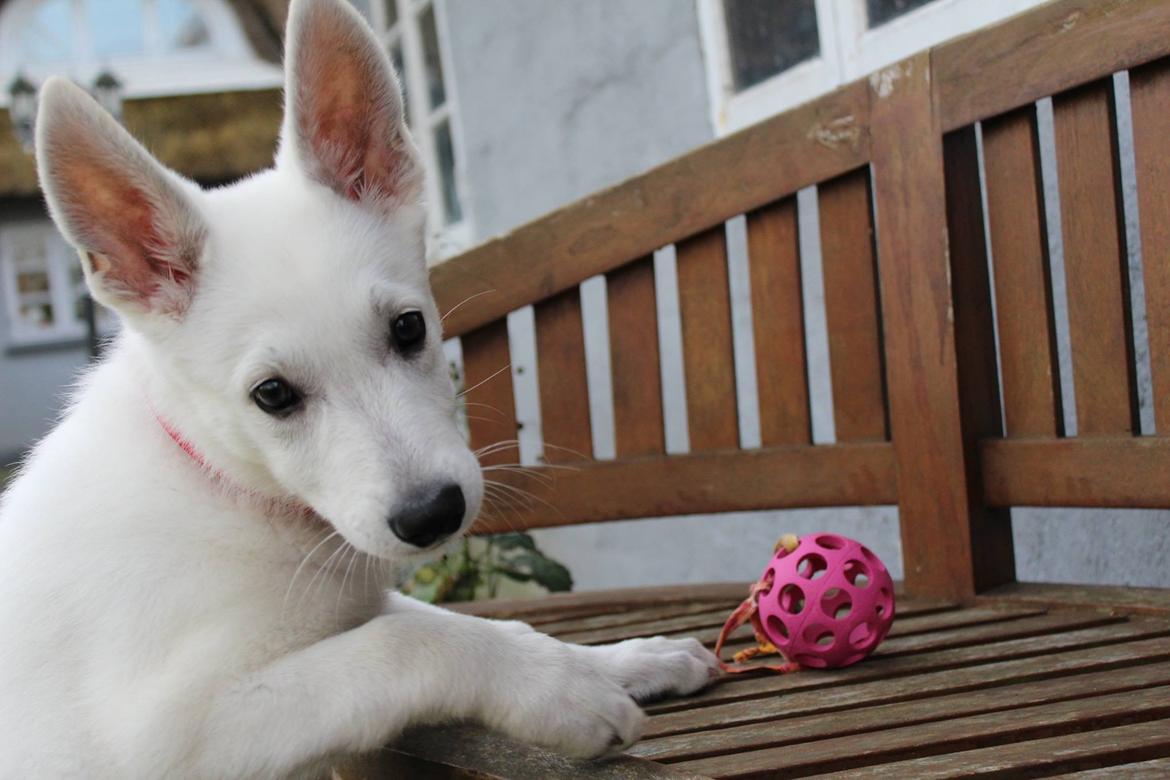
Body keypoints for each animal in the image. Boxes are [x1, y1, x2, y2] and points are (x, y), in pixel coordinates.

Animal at [0, 0, 720, 776]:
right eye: (272, 395)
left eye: (408, 328)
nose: (432, 513)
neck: (219, 485)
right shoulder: (171, 734)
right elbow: (410, 642)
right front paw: (562, 694)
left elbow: (482, 622)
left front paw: (619, 660)